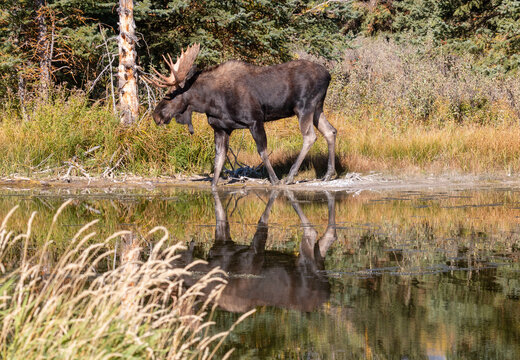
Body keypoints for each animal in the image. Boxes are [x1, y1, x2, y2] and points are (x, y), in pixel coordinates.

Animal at [146, 43, 338, 187]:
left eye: (171, 95)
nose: (156, 115)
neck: (209, 102)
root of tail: (329, 75)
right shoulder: (221, 128)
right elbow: (219, 161)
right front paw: (213, 186)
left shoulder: (255, 120)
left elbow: (262, 151)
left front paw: (275, 179)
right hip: (317, 108)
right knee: (330, 131)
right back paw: (328, 174)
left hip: (304, 107)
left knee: (310, 136)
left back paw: (290, 176)